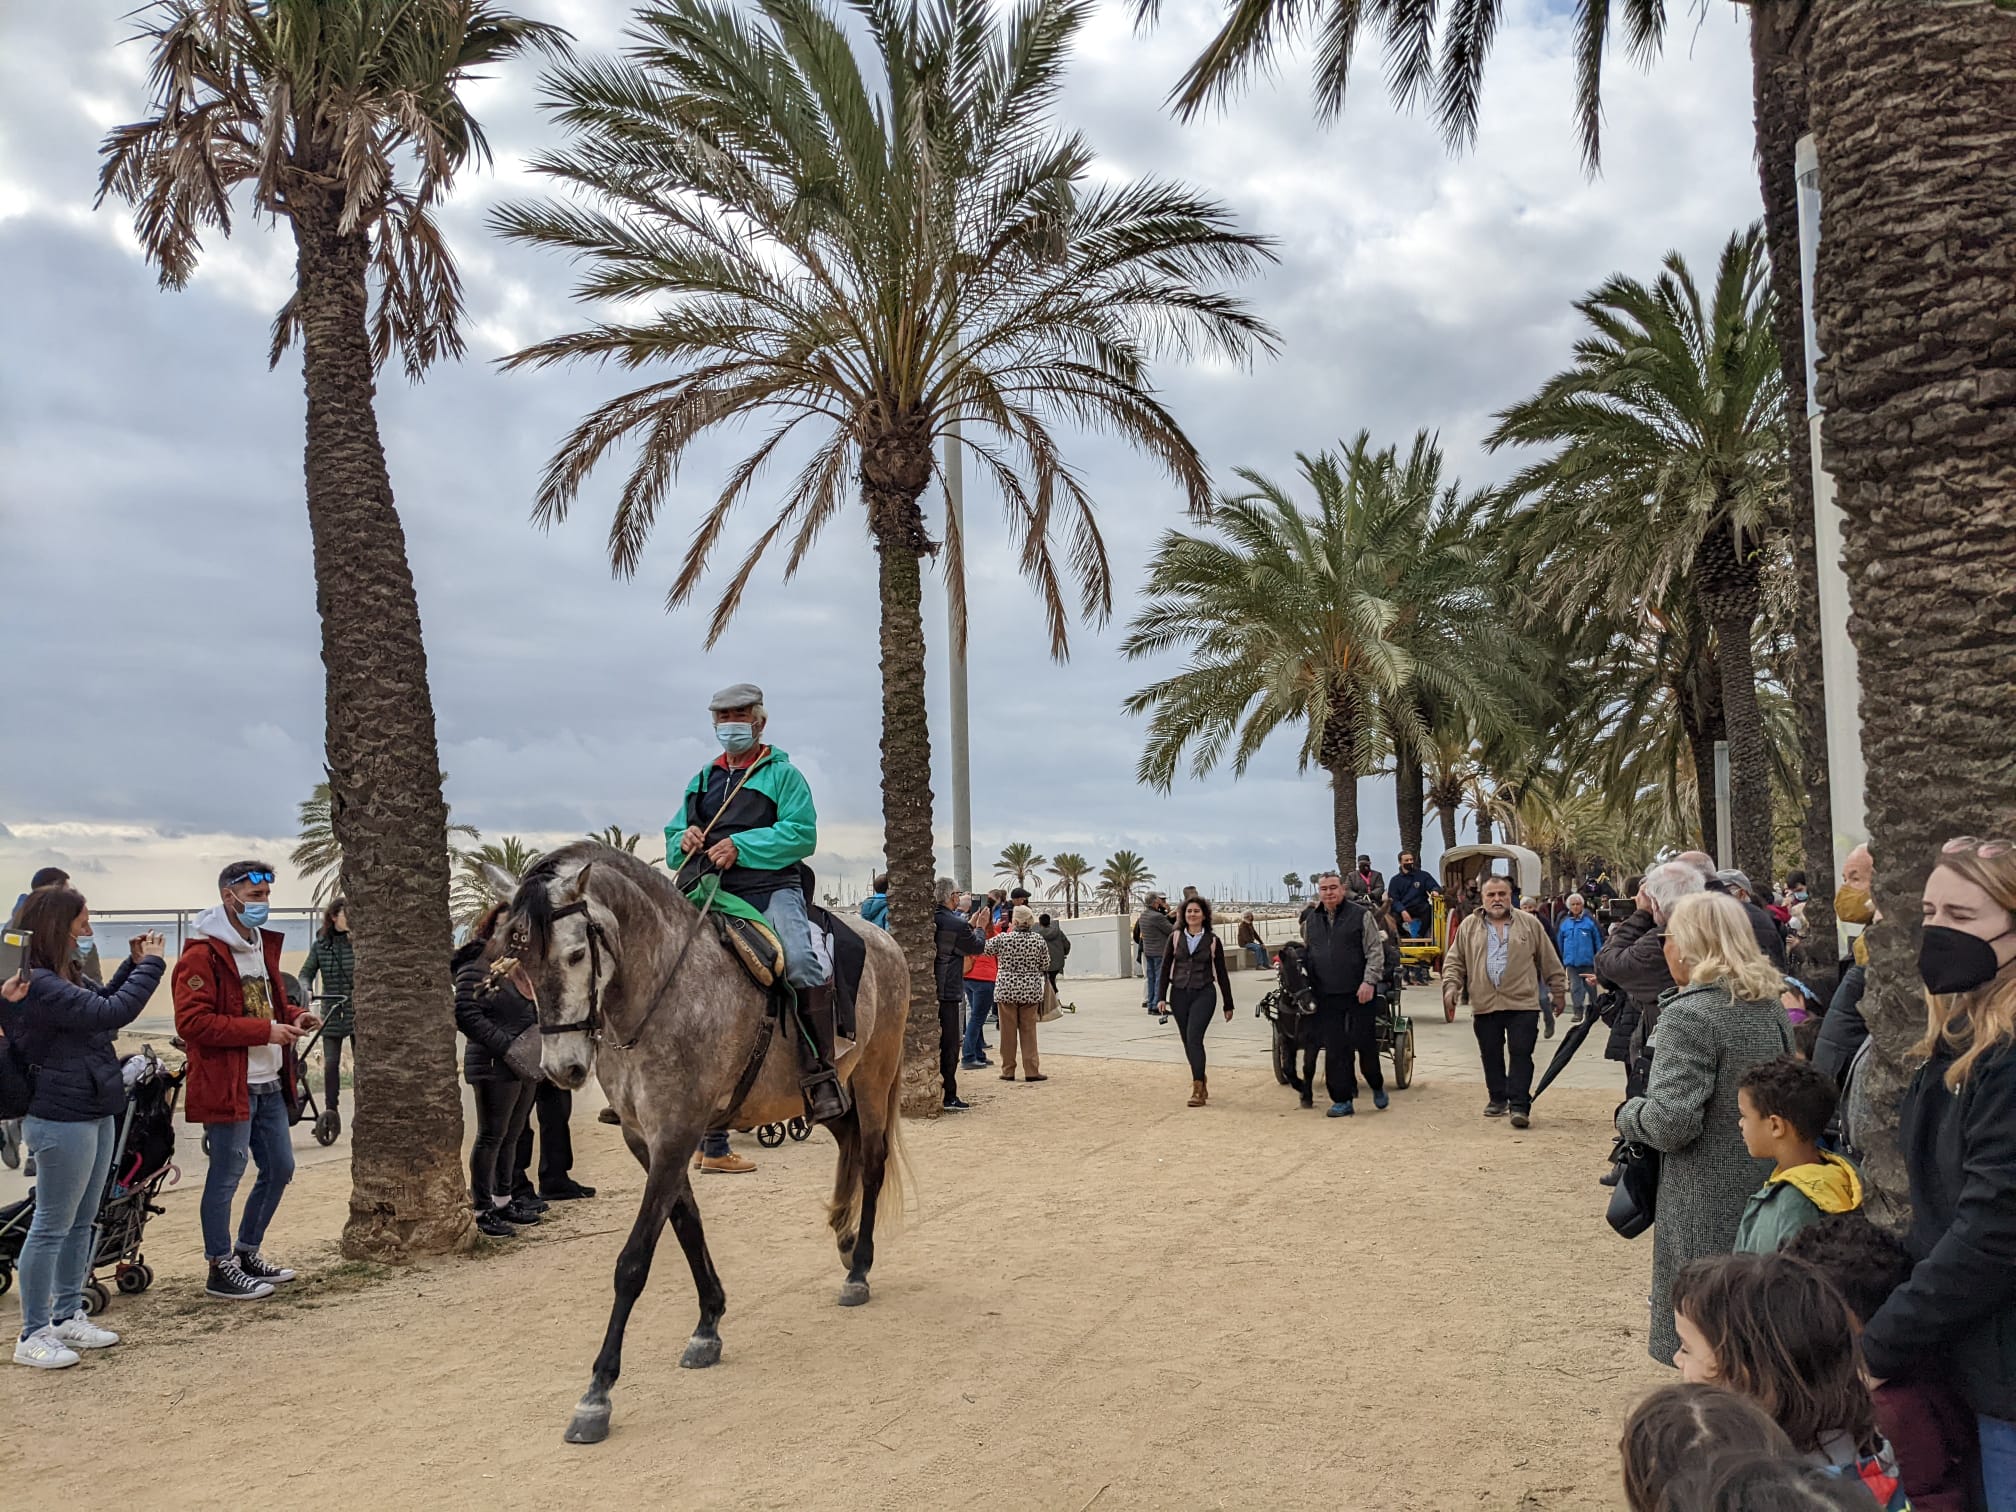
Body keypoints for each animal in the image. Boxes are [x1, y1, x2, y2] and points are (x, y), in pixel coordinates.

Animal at [499, 846, 911, 1451]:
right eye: (521, 965)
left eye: (575, 955)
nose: (562, 1069)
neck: (661, 991)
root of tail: (883, 938)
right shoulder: (648, 1140)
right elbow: (687, 1225)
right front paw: (708, 1324)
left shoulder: (677, 1132)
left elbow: (634, 1261)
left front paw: (598, 1392)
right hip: (826, 1093)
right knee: (851, 1146)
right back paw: (843, 1231)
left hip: (876, 1076)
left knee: (875, 1161)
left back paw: (859, 1267)